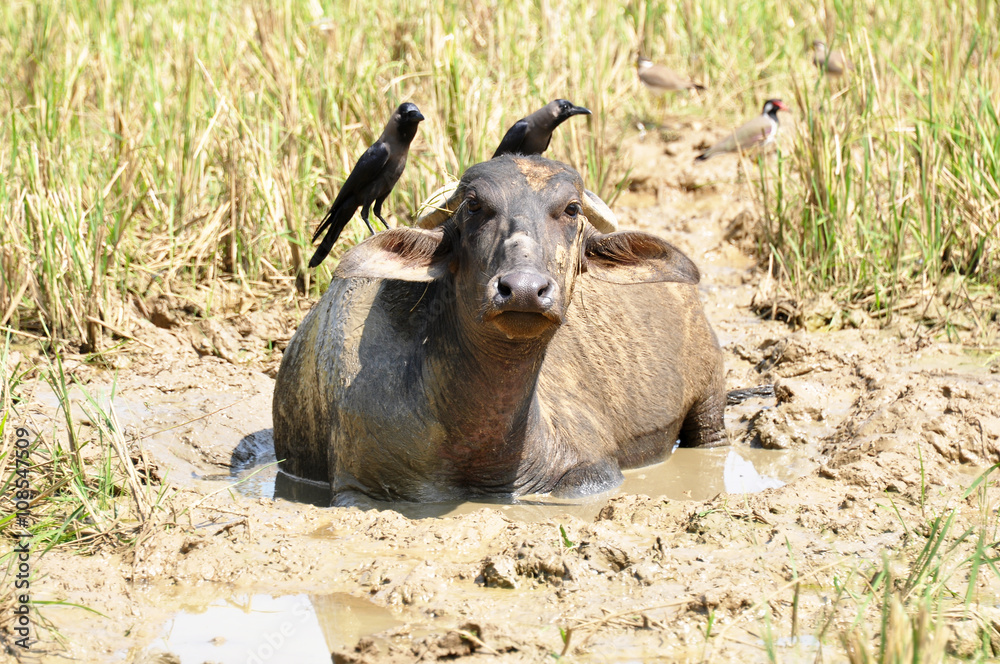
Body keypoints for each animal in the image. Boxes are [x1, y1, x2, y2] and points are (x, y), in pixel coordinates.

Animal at [273, 155, 727, 504]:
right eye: (475, 205)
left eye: (572, 209)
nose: (523, 289)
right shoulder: (358, 487)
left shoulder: (593, 469)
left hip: (710, 402)